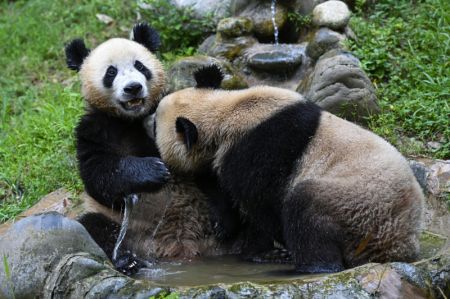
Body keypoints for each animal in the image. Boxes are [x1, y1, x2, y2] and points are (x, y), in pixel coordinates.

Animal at [66, 24, 239, 274]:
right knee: (94, 227)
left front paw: (223, 220)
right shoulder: (95, 128)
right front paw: (153, 171)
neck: (132, 118)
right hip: (127, 228)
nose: (133, 88)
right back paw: (128, 261)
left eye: (140, 66)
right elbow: (98, 175)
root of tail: (178, 247)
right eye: (111, 72)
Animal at [153, 65, 424, 274]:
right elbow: (216, 185)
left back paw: (308, 266)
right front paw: (224, 226)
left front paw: (262, 252)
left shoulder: (260, 148)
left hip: (360, 205)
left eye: (154, 124)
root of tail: (399, 245)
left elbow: (263, 204)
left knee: (307, 210)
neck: (226, 112)